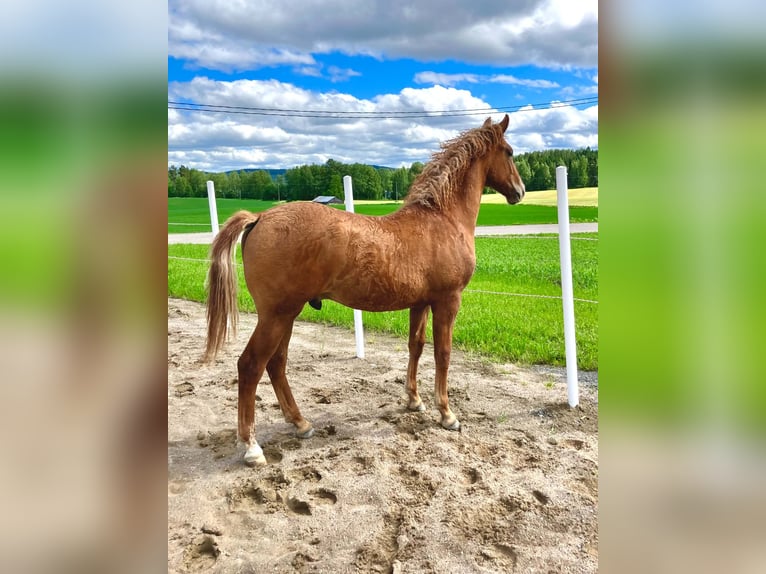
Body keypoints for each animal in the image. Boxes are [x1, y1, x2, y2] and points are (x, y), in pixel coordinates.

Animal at [204, 114, 525, 466]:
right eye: (509, 152)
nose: (520, 191)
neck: (441, 219)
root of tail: (260, 217)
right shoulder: (448, 300)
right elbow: (443, 352)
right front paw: (447, 414)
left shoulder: (420, 303)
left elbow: (416, 346)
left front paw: (414, 400)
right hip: (276, 315)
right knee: (251, 365)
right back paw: (251, 446)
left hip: (285, 315)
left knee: (276, 364)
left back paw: (300, 423)